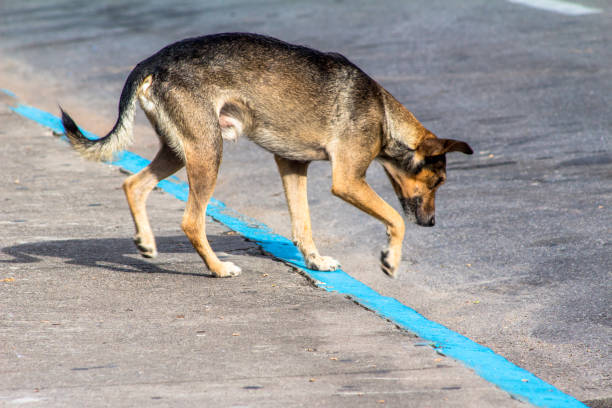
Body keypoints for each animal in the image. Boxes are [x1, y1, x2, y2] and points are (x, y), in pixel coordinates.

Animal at [59, 33, 474, 278]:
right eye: (438, 181)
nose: (432, 224)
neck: (383, 113)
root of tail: (153, 61)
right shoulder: (348, 181)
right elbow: (396, 219)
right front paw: (390, 259)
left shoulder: (293, 166)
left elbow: (303, 224)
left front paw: (315, 261)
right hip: (209, 153)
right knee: (191, 221)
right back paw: (217, 268)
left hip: (182, 151)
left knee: (134, 184)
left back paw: (146, 242)